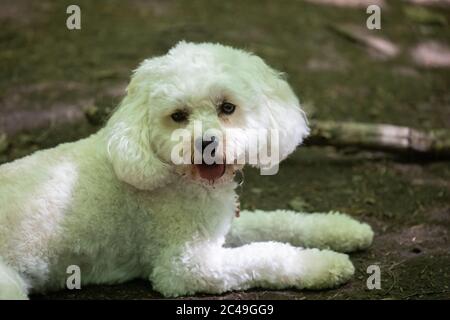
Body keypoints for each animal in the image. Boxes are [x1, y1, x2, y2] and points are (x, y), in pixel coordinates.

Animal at [0, 41, 372, 298]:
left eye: (227, 107)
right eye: (178, 116)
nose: (206, 144)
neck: (176, 177)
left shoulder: (219, 223)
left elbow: (278, 221)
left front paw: (343, 229)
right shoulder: (185, 266)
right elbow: (266, 254)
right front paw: (325, 264)